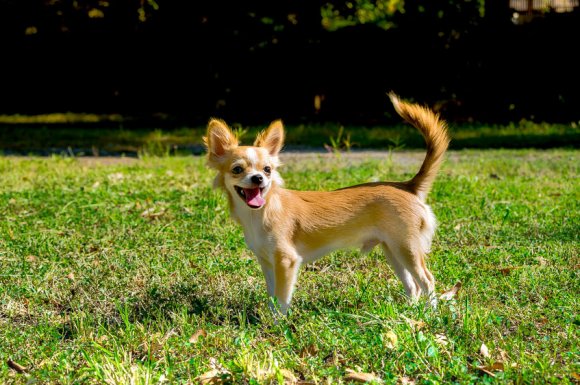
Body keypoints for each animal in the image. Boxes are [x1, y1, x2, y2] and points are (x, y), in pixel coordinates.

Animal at [204, 93, 448, 316]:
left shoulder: (286, 261)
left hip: (407, 248)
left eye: (267, 170)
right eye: (237, 169)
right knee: (413, 286)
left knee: (427, 281)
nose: (258, 178)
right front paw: (270, 320)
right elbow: (272, 296)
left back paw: (431, 314)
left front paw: (278, 325)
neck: (262, 212)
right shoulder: (267, 262)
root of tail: (408, 186)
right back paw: (409, 313)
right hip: (393, 250)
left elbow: (282, 299)